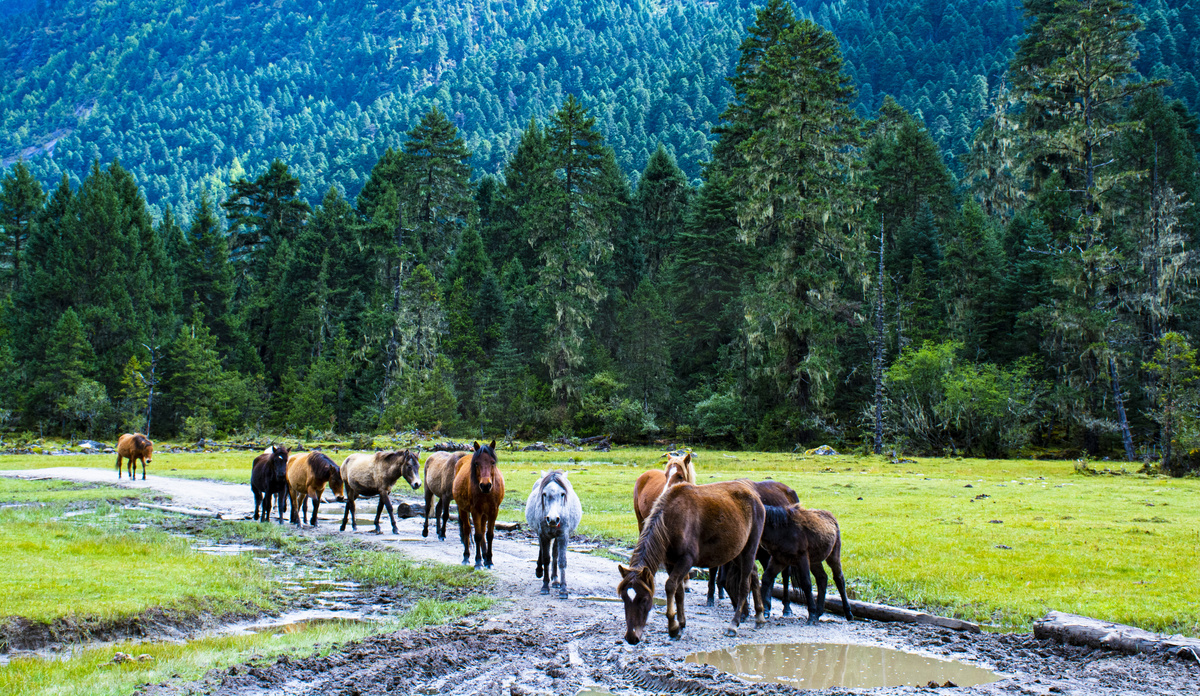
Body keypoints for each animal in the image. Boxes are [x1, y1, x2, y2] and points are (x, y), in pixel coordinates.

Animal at [619, 477, 768, 643]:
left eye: (644, 599)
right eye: (624, 598)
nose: (631, 637)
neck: (670, 520)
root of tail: (755, 496)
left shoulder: (686, 560)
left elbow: (670, 586)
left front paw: (673, 627)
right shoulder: (670, 562)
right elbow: (679, 591)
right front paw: (681, 623)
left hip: (749, 549)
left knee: (744, 585)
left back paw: (734, 624)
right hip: (736, 552)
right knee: (754, 574)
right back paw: (759, 615)